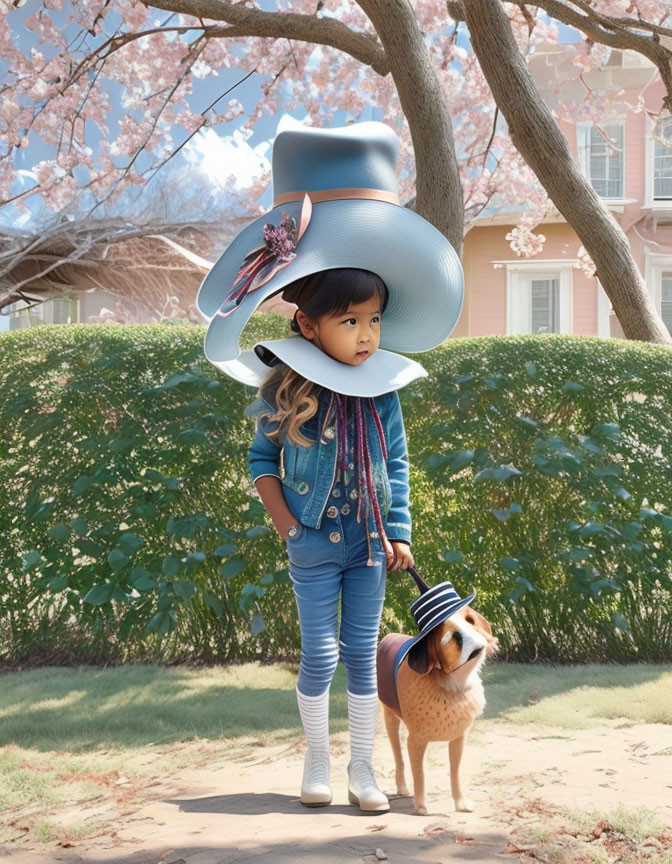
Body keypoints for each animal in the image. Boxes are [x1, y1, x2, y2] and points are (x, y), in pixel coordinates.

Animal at [378, 604, 498, 812]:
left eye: (469, 620)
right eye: (453, 637)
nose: (473, 636)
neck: (453, 685)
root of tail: (388, 636)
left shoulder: (459, 737)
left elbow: (456, 771)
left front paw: (461, 803)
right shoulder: (415, 741)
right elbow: (420, 774)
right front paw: (422, 807)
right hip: (390, 717)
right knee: (398, 758)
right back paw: (402, 788)